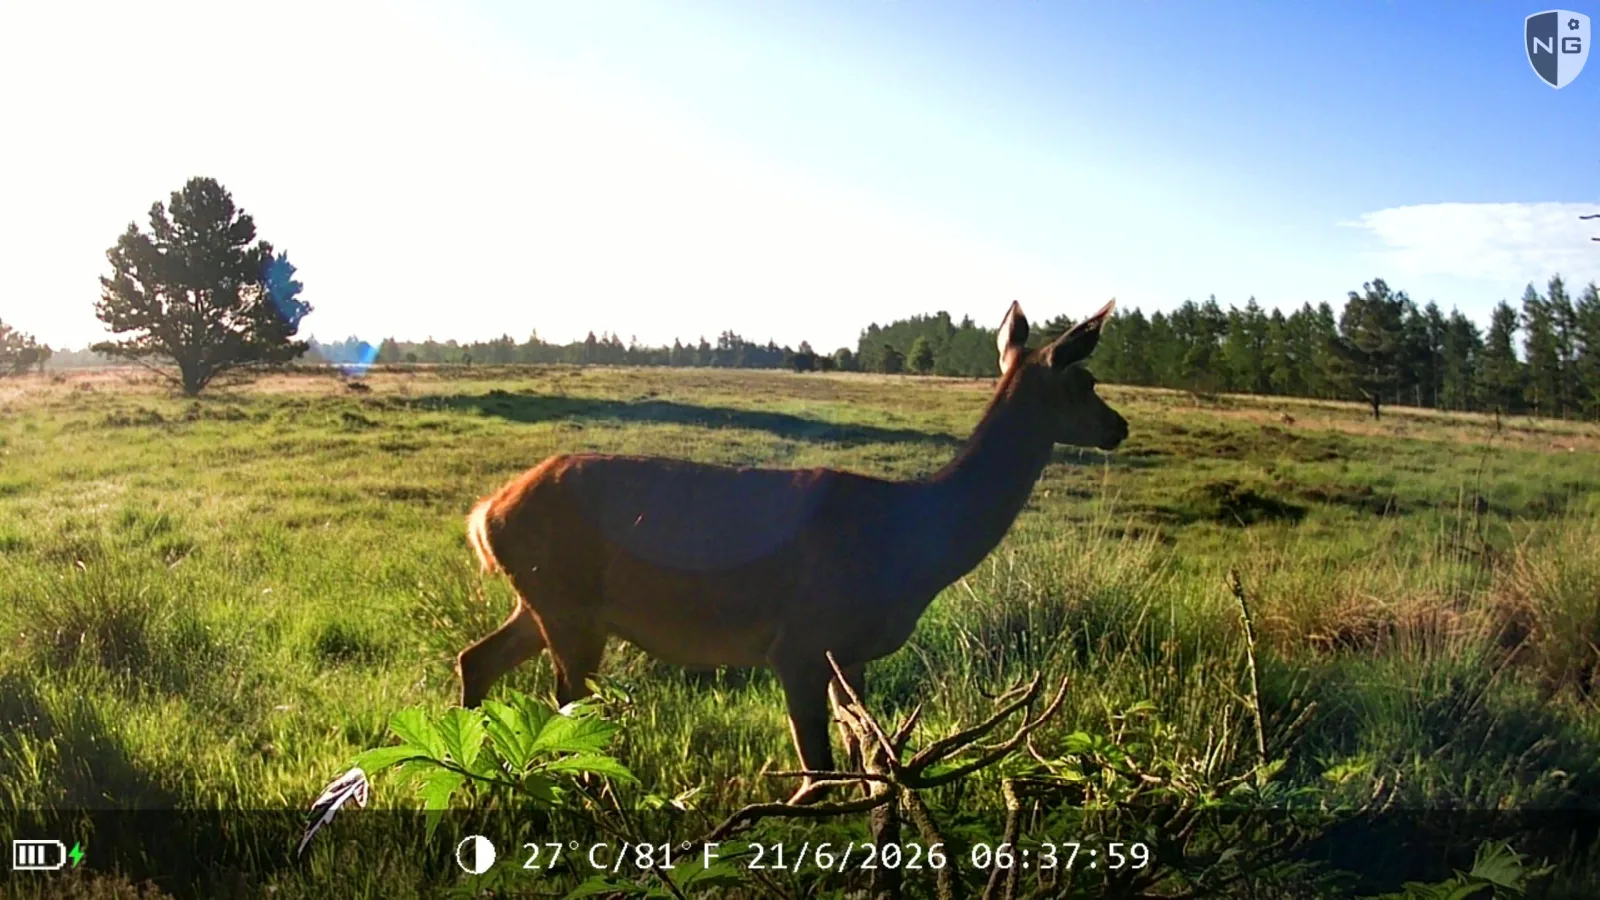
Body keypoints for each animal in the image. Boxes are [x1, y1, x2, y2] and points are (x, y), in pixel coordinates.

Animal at [455, 300, 1128, 803]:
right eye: (1086, 381)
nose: (1118, 426)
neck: (912, 544)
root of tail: (486, 513)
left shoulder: (849, 654)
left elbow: (867, 765)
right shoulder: (800, 640)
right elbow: (817, 775)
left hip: (547, 602)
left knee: (476, 658)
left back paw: (471, 776)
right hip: (568, 607)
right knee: (565, 710)